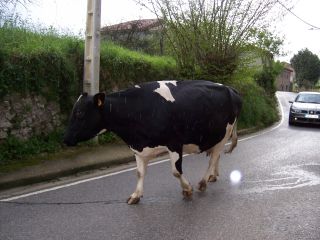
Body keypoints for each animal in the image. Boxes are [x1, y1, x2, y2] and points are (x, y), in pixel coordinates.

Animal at [63, 80, 242, 204]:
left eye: (79, 113)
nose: (65, 139)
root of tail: (230, 88)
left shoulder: (174, 143)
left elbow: (176, 171)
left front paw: (187, 189)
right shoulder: (138, 148)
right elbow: (139, 173)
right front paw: (135, 195)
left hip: (224, 135)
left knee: (213, 158)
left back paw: (203, 182)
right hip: (215, 136)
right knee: (215, 156)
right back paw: (212, 176)